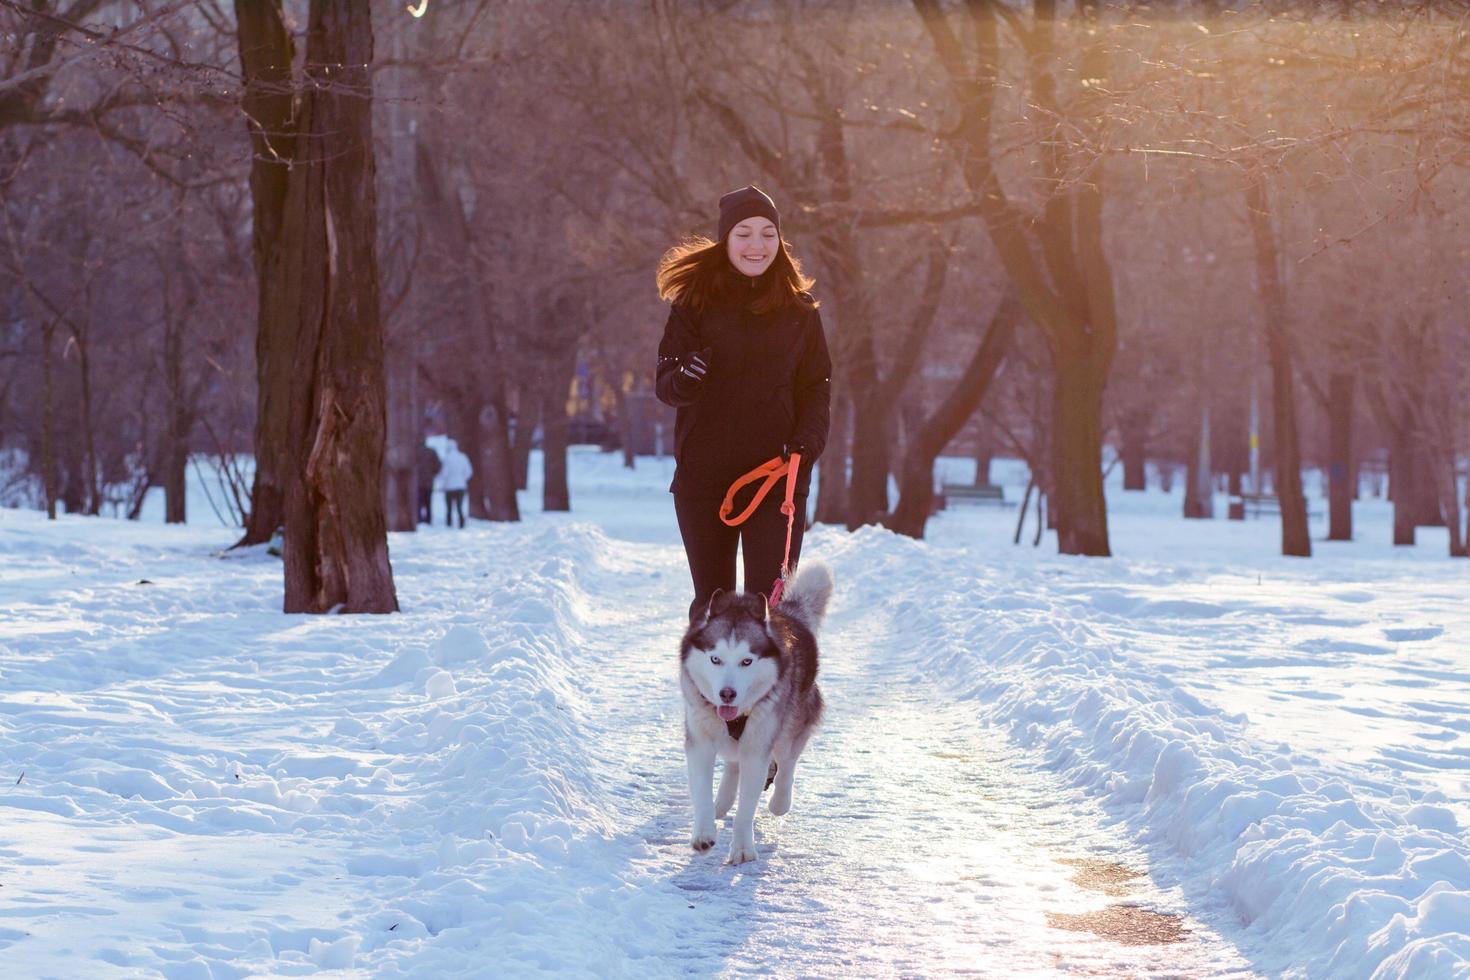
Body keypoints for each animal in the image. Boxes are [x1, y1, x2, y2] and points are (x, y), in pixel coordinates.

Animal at [679, 564, 834, 863]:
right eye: (715, 659)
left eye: (746, 661)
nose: (727, 694)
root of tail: (789, 614)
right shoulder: (699, 742)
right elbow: (701, 792)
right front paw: (703, 833)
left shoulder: (758, 749)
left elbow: (747, 807)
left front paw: (742, 848)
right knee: (733, 763)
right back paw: (722, 801)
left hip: (791, 722)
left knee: (786, 762)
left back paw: (780, 801)